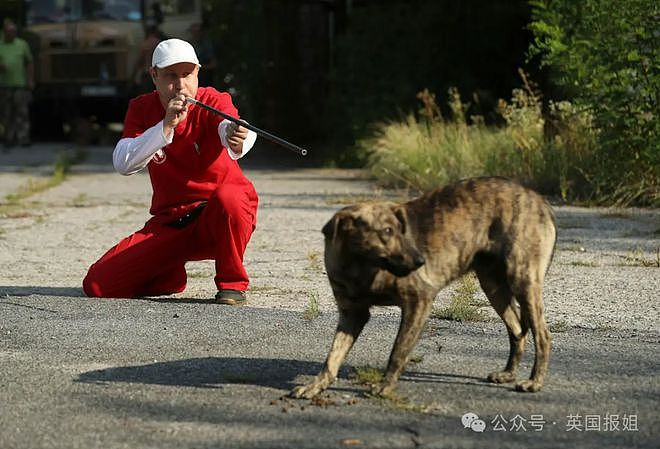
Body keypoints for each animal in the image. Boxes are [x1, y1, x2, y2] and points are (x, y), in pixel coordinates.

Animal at [292, 177, 556, 398]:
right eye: (386, 231)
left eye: (401, 231)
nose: (421, 261)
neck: (360, 265)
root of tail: (540, 200)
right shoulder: (352, 314)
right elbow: (332, 357)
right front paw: (316, 385)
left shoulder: (419, 301)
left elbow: (398, 351)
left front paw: (385, 386)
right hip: (494, 287)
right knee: (517, 330)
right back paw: (509, 373)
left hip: (523, 280)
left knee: (542, 334)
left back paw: (534, 382)